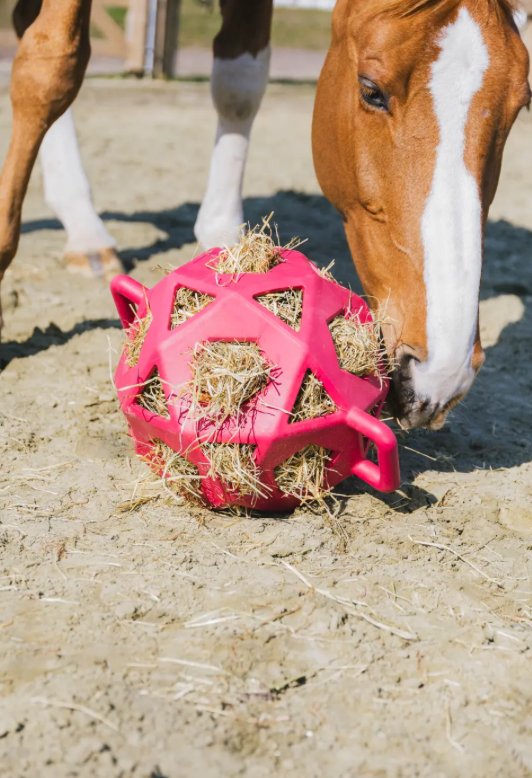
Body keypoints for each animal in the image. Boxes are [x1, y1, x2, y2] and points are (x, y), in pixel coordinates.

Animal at [0, 0, 529, 430]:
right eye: (371, 90)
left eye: (519, 106)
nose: (442, 373)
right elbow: (50, 68)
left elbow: (240, 80)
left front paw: (226, 242)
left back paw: (85, 231)